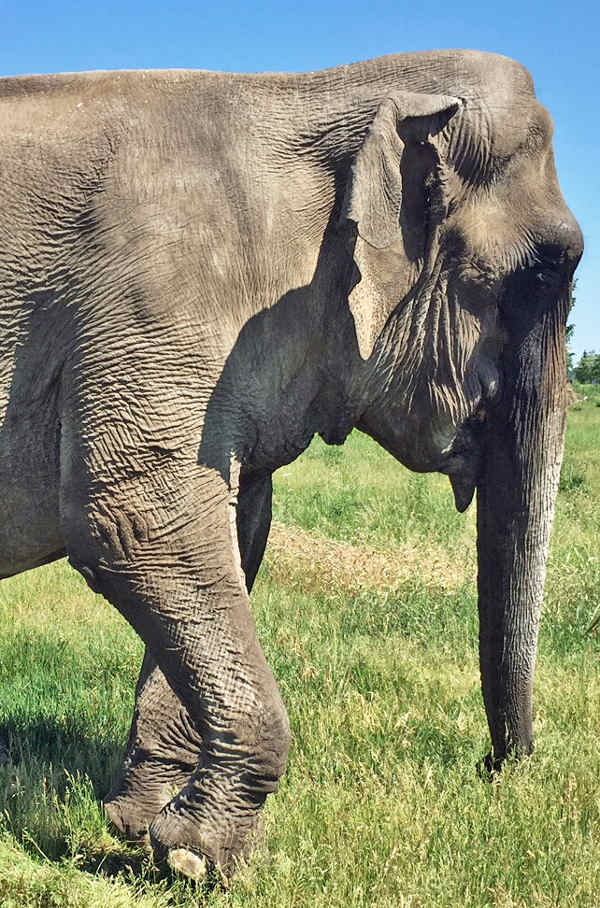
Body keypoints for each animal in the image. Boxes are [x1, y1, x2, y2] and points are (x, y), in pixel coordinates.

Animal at [0, 51, 580, 880]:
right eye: (539, 274)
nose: (494, 772)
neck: (318, 90)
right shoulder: (153, 297)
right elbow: (139, 522)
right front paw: (200, 861)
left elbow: (237, 529)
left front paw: (142, 830)